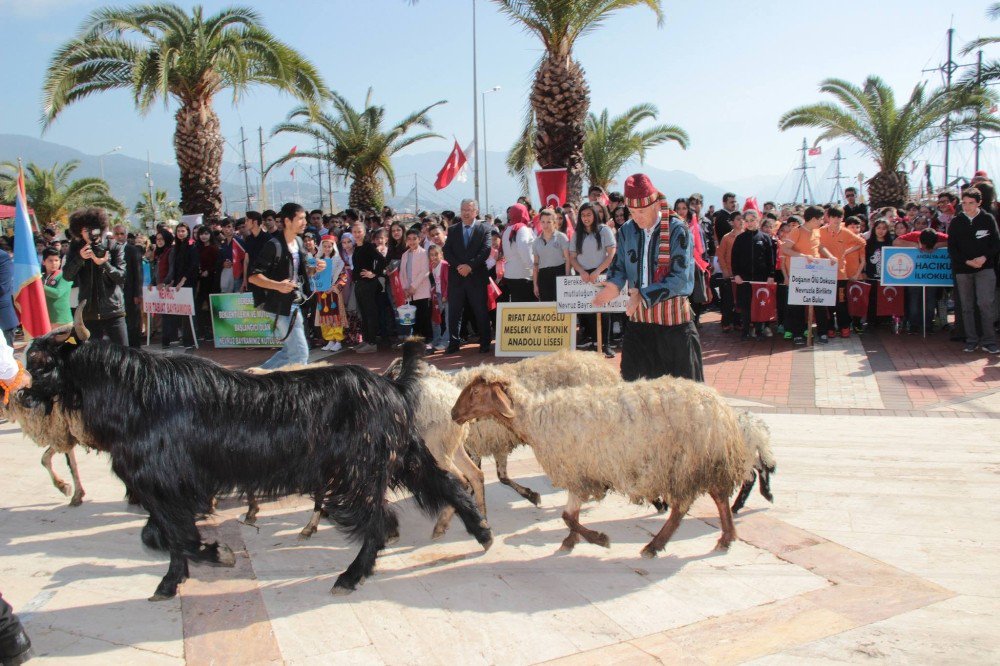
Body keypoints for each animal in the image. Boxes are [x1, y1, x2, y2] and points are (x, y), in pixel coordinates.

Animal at [18, 314, 492, 600]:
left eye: (40, 363)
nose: (22, 397)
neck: (139, 394)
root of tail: (391, 384)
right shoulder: (167, 491)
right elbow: (160, 536)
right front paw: (178, 577)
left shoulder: (168, 485)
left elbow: (177, 537)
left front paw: (210, 559)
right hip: (403, 454)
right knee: (447, 486)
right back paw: (482, 533)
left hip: (358, 473)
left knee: (381, 521)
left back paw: (350, 576)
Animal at [452, 368, 752, 556]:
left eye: (475, 393)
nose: (453, 414)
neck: (536, 418)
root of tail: (722, 409)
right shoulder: (577, 472)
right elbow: (570, 516)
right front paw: (570, 541)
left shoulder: (577, 472)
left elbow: (568, 517)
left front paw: (599, 539)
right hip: (704, 463)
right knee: (718, 497)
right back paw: (726, 538)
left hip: (686, 464)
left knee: (683, 507)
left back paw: (654, 546)